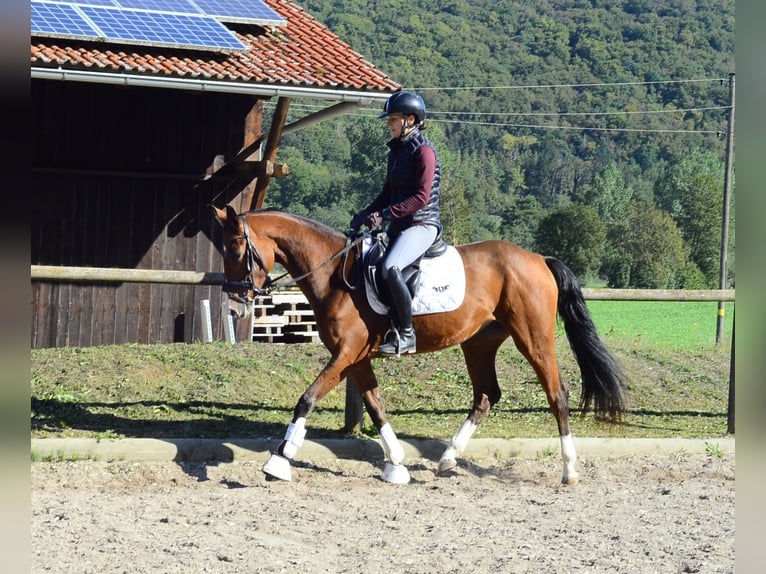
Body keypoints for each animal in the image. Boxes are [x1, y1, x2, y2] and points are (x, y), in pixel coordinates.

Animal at [211, 205, 628, 485]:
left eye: (237, 252)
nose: (235, 307)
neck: (334, 275)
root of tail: (538, 258)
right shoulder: (356, 358)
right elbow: (375, 405)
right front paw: (395, 463)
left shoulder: (346, 354)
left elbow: (307, 398)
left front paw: (279, 460)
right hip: (479, 344)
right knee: (486, 395)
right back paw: (447, 459)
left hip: (534, 338)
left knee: (557, 393)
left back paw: (569, 471)